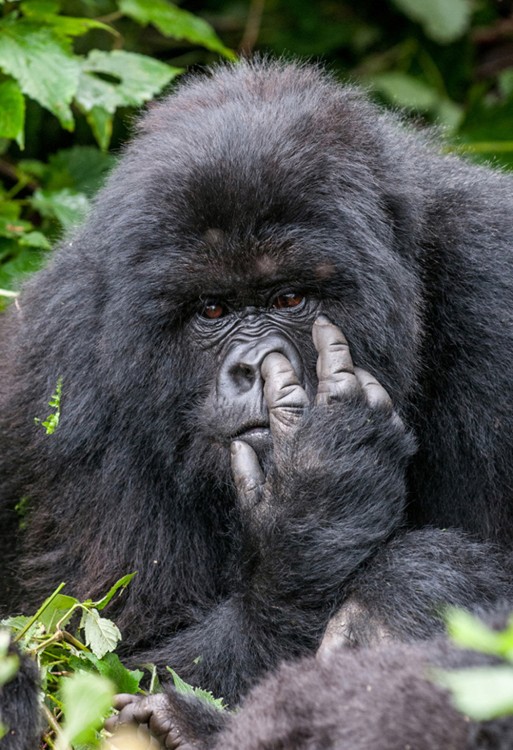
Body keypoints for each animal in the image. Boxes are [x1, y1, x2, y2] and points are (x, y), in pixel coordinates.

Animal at [1, 58, 512, 748]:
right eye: (212, 309)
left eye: (290, 299)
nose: (250, 369)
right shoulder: (64, 371)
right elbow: (99, 656)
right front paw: (317, 510)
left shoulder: (495, 286)